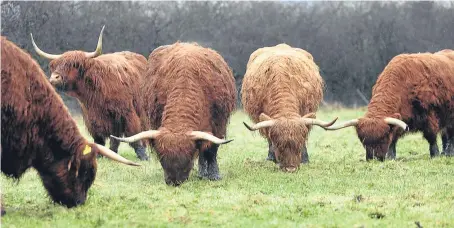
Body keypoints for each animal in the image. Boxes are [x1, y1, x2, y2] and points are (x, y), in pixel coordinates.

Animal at [30, 25, 151, 160]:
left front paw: (143, 155)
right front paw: (99, 154)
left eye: (74, 65)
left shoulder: (127, 112)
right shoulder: (92, 117)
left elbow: (133, 133)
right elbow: (99, 138)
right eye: (55, 65)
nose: (54, 78)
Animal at [111, 42, 236, 185]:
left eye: (188, 156)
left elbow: (211, 149)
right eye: (161, 157)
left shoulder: (218, 124)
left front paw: (214, 175)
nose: (174, 181)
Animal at [324, 50, 454, 160]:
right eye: (363, 141)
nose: (374, 158)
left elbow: (431, 136)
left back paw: (448, 153)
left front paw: (435, 154)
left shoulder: (429, 115)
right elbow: (394, 138)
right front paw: (391, 157)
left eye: (382, 138)